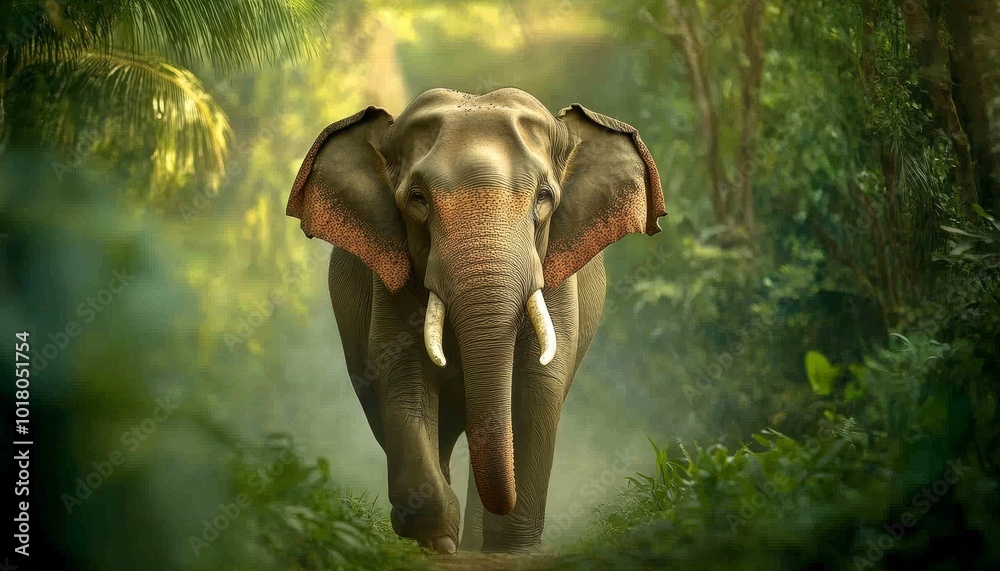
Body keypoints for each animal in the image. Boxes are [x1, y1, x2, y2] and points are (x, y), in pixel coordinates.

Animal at [285, 87, 665, 554]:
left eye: (544, 197)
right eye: (417, 199)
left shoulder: (556, 277)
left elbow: (538, 383)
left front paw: (510, 549)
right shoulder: (390, 280)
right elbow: (402, 375)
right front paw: (437, 541)